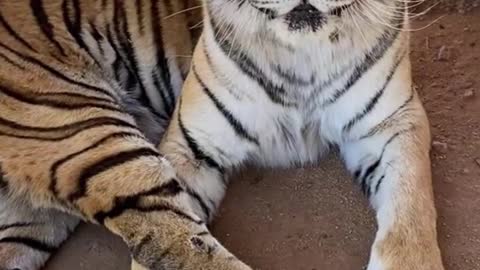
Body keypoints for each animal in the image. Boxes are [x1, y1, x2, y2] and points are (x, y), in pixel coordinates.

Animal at [0, 0, 446, 270]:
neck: (300, 52)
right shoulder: (189, 146)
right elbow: (178, 244)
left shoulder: (393, 122)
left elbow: (411, 210)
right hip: (83, 132)